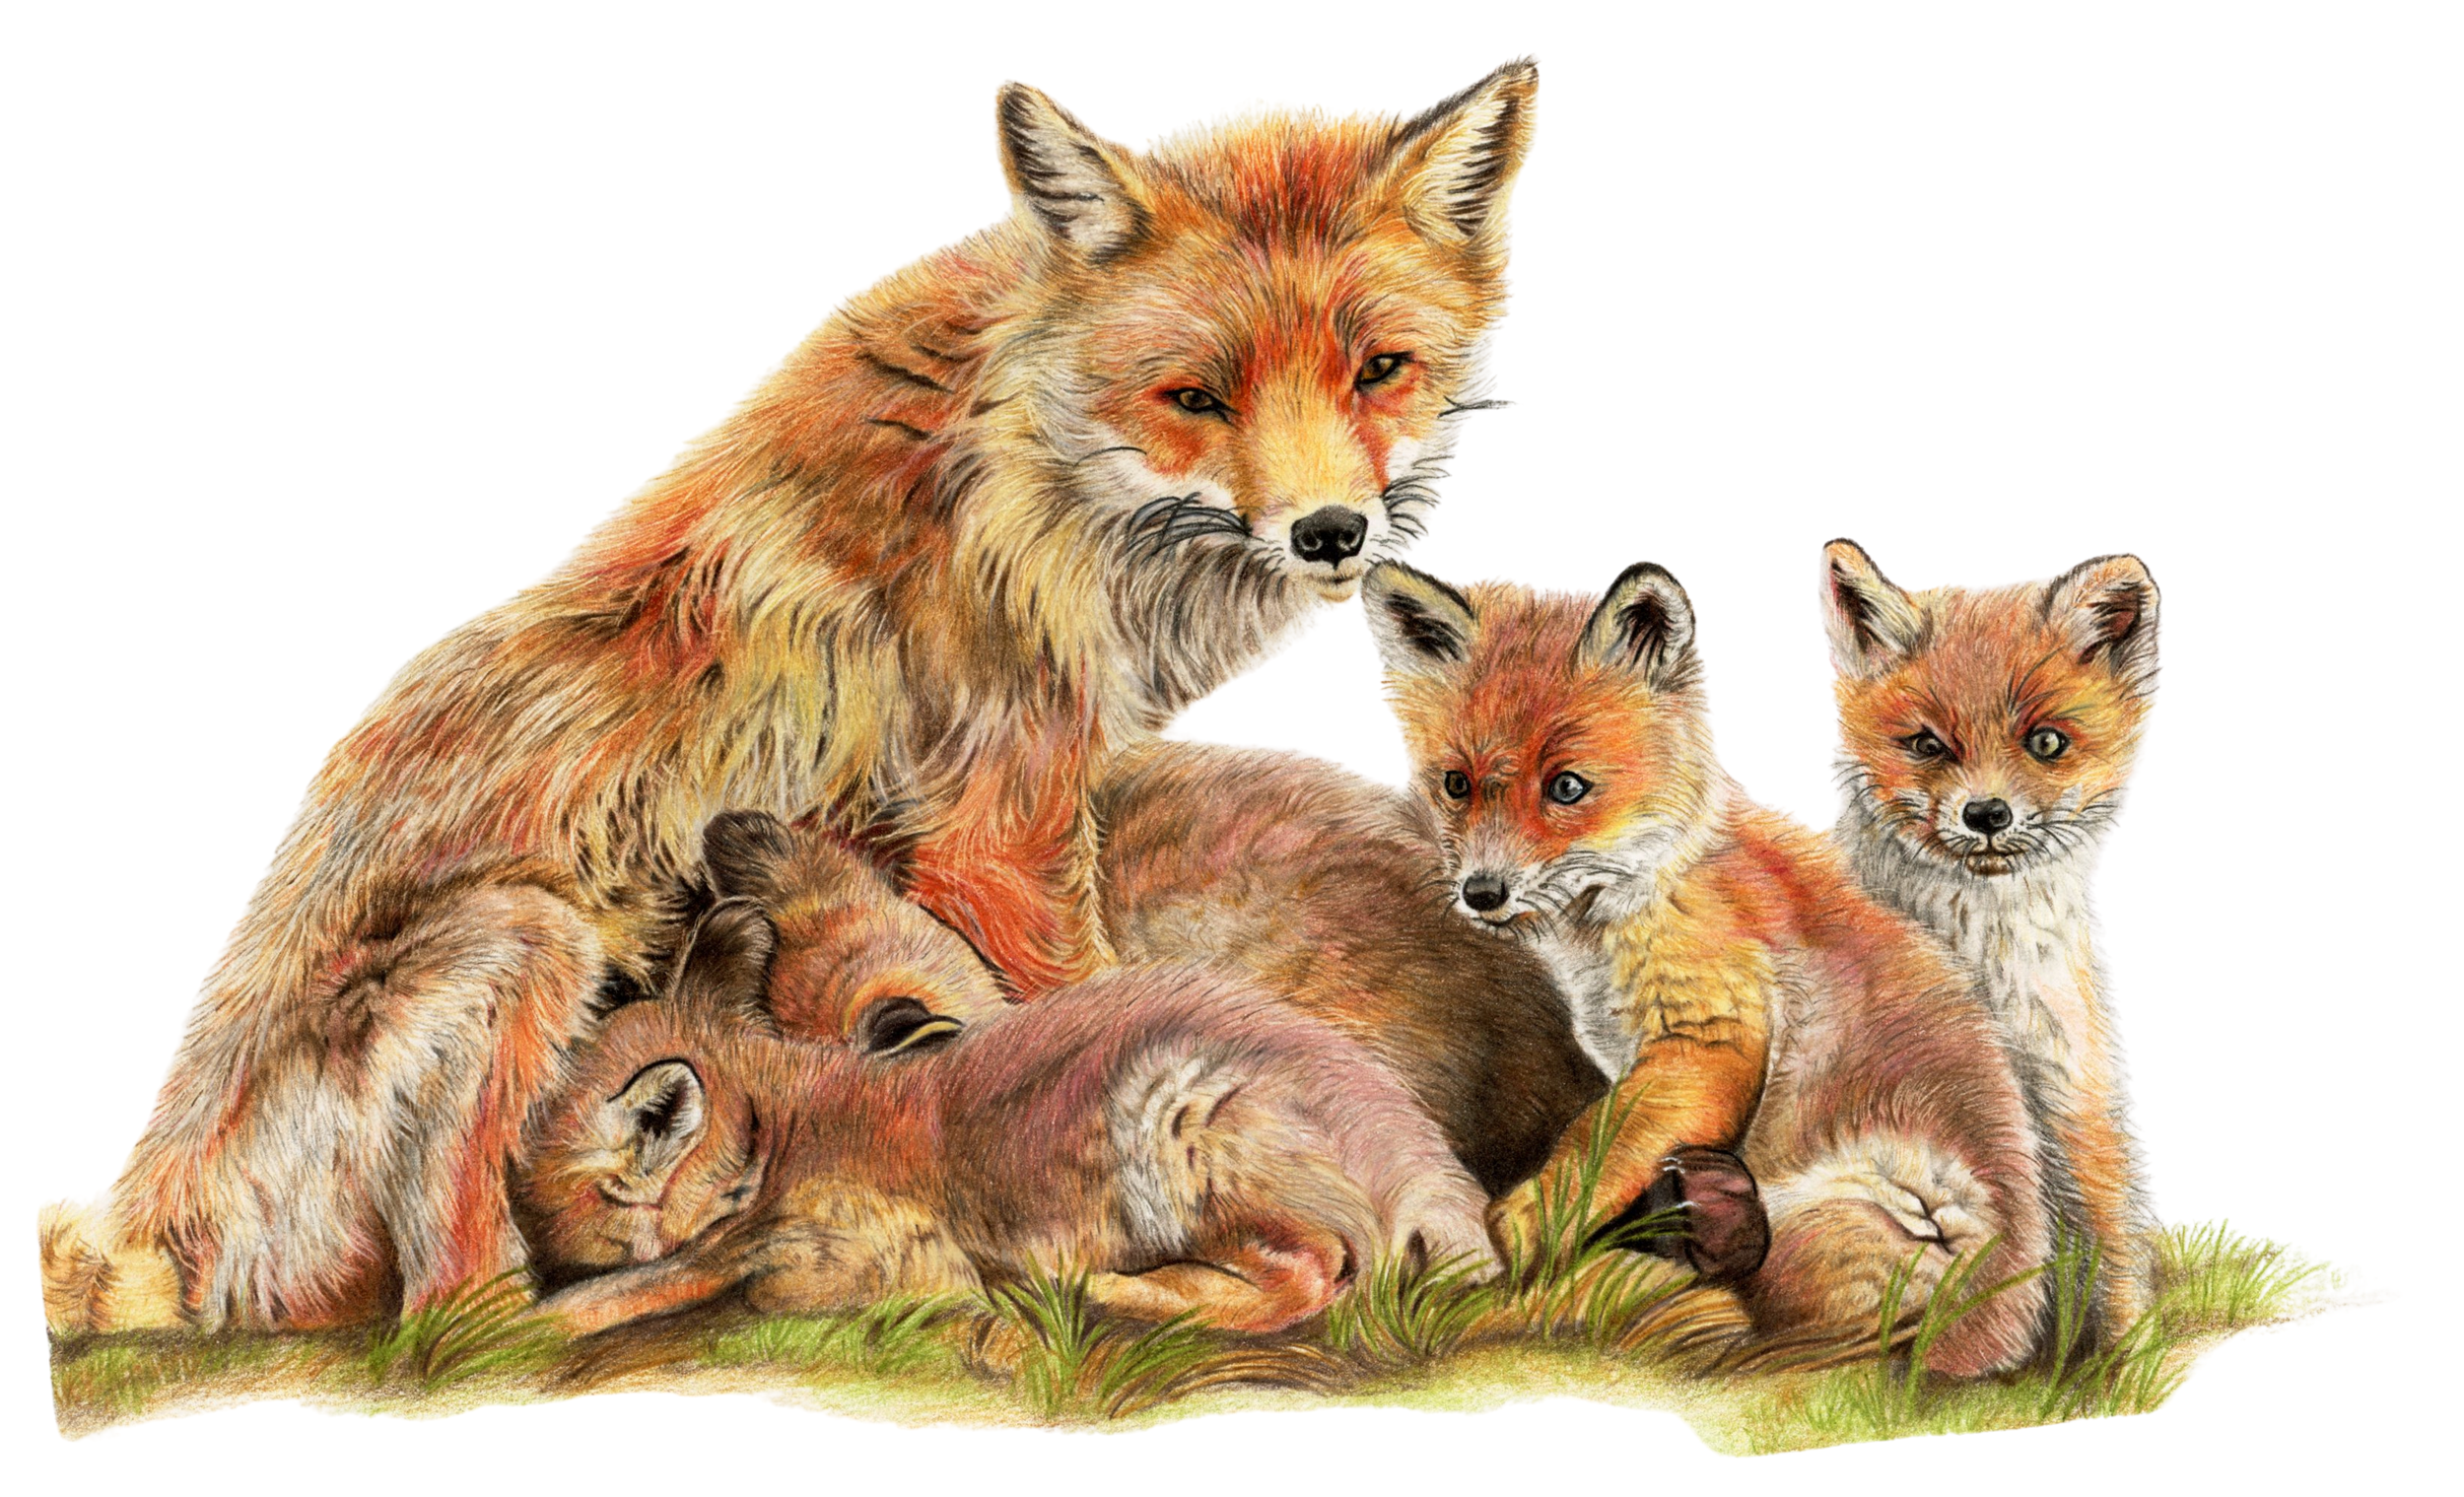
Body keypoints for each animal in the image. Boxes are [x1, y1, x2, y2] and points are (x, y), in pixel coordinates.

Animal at [518, 870, 1496, 1337]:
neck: (773, 1136)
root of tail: (1418, 1161)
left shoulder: (841, 1255)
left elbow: (707, 1285)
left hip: (1178, 1129)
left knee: (1319, 1275)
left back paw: (1102, 1288)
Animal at [1361, 559, 2053, 1374]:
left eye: (1566, 786)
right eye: (1456, 784)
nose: (1481, 892)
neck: (1649, 886)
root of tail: (2000, 1339)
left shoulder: (1710, 1034)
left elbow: (1594, 1146)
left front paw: (1517, 1235)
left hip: (1822, 1220)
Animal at [1822, 539, 2162, 1343]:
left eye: (2046, 741)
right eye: (1926, 745)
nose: (1985, 814)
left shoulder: (2073, 1103)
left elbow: (2114, 1269)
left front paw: (2131, 1362)